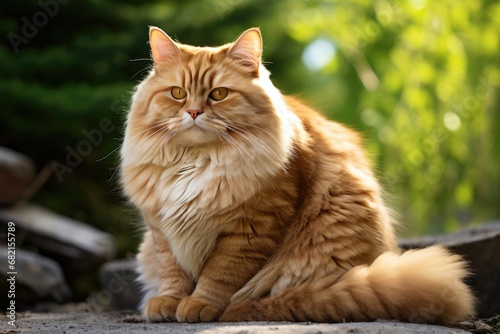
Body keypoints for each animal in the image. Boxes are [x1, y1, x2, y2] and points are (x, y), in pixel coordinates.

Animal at [119, 26, 474, 324]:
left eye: (219, 94)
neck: (198, 160)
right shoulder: (162, 231)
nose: (193, 112)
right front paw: (168, 301)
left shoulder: (250, 230)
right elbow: (172, 272)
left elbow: (219, 276)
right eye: (177, 93)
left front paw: (199, 304)